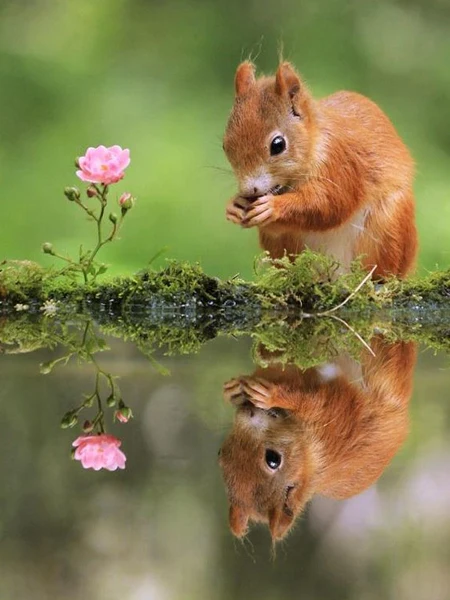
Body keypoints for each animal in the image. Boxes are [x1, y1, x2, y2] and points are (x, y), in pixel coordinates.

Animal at [220, 338, 416, 544]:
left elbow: (309, 398)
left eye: (273, 459)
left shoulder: (334, 418)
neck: (311, 456)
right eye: (221, 455)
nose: (245, 412)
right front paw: (236, 393)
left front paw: (264, 394)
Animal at [223, 61, 416, 276]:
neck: (314, 141)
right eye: (225, 146)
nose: (250, 190)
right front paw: (234, 206)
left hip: (388, 227)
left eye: (278, 145)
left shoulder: (340, 161)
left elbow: (329, 203)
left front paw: (273, 206)